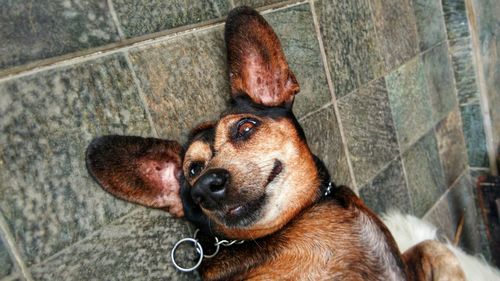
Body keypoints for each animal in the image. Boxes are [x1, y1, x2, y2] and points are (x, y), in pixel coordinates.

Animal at [84, 5, 470, 278]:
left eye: (245, 128)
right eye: (192, 170)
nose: (205, 186)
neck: (301, 216)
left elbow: (434, 247)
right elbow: (434, 245)